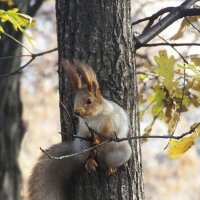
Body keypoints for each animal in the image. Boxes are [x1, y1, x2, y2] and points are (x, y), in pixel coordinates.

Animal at [27, 59, 131, 200]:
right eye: (75, 101)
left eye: (89, 101)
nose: (77, 112)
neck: (94, 118)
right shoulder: (84, 127)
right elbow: (86, 133)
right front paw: (92, 138)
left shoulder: (112, 122)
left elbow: (108, 134)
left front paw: (99, 139)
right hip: (83, 147)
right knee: (88, 157)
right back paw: (90, 162)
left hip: (121, 151)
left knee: (107, 162)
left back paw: (111, 167)